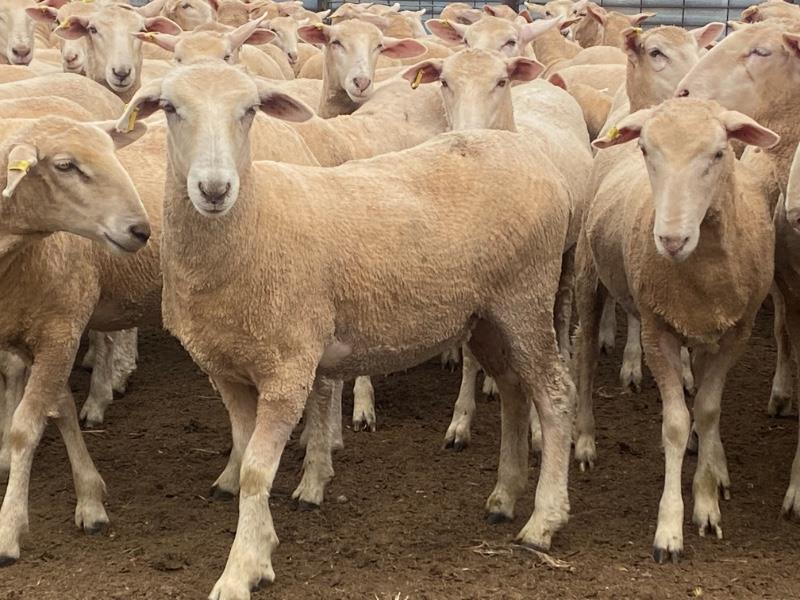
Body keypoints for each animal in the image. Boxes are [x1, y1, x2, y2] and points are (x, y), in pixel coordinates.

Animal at [0, 115, 157, 566]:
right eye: (65, 166)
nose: (140, 230)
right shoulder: (42, 336)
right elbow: (62, 409)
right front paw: (90, 498)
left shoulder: (61, 331)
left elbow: (26, 428)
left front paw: (8, 530)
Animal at [118, 60, 575, 599]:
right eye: (170, 108)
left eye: (249, 110)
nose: (214, 189)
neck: (252, 222)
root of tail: (531, 156)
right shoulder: (226, 370)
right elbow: (245, 454)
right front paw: (264, 549)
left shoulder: (288, 367)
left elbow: (255, 471)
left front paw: (240, 569)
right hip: (486, 315)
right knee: (513, 391)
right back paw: (504, 496)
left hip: (528, 296)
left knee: (555, 397)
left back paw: (543, 521)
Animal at [578, 98, 778, 562]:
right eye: (646, 150)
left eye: (719, 153)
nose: (670, 240)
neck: (699, 275)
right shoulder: (657, 331)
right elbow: (674, 424)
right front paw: (669, 529)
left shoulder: (734, 334)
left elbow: (707, 411)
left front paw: (707, 503)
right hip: (587, 275)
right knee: (585, 362)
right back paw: (584, 442)